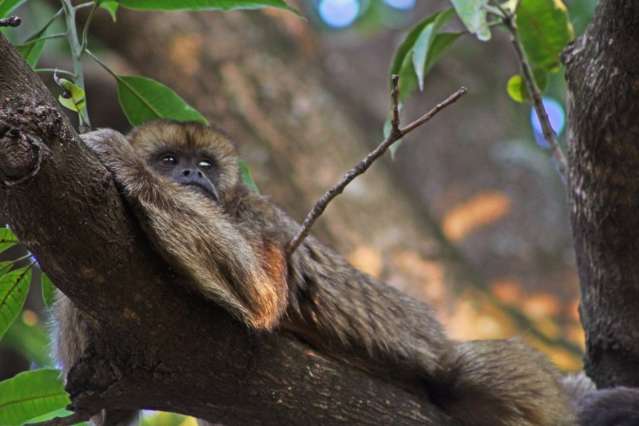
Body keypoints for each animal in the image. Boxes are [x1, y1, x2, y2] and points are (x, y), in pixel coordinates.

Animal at [53, 120, 580, 426]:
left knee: (478, 370)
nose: (190, 176)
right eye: (169, 160)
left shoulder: (257, 217)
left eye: (203, 163)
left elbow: (260, 293)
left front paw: (117, 156)